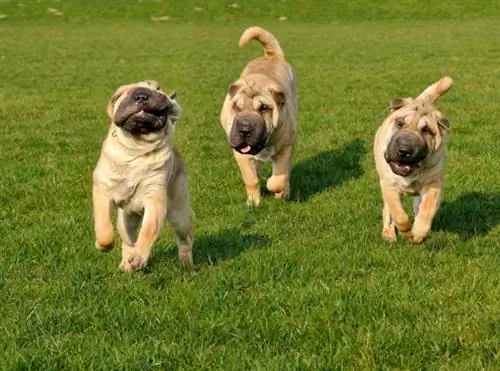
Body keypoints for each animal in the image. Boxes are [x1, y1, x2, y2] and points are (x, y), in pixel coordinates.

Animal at [92, 80, 193, 272]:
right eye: (122, 94)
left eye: (157, 89)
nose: (141, 96)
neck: (136, 149)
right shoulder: (103, 190)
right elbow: (104, 227)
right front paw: (103, 245)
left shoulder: (155, 200)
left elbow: (148, 231)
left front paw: (139, 258)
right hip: (126, 221)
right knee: (127, 241)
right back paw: (125, 264)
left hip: (179, 215)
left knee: (185, 240)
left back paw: (186, 264)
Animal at [220, 26, 296, 206]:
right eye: (236, 107)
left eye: (264, 108)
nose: (245, 128)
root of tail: (270, 56)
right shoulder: (241, 154)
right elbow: (251, 179)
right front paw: (253, 202)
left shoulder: (285, 147)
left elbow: (278, 179)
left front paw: (278, 191)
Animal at [376, 76, 454, 244]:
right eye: (400, 123)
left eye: (427, 130)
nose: (404, 150)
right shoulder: (389, 184)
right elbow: (398, 214)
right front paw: (406, 232)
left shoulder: (433, 183)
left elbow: (427, 208)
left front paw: (418, 233)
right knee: (388, 211)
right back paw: (388, 233)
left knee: (418, 205)